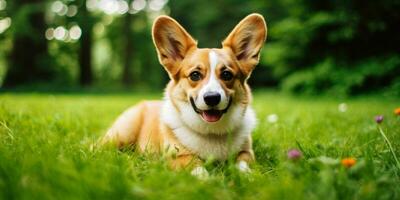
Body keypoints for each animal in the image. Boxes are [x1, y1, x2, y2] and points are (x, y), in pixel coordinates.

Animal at [101, 13, 268, 176]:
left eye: (227, 74)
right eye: (195, 75)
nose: (212, 98)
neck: (212, 132)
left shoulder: (246, 152)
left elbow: (243, 165)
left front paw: (247, 177)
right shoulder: (178, 156)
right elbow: (197, 167)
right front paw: (206, 180)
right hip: (122, 134)